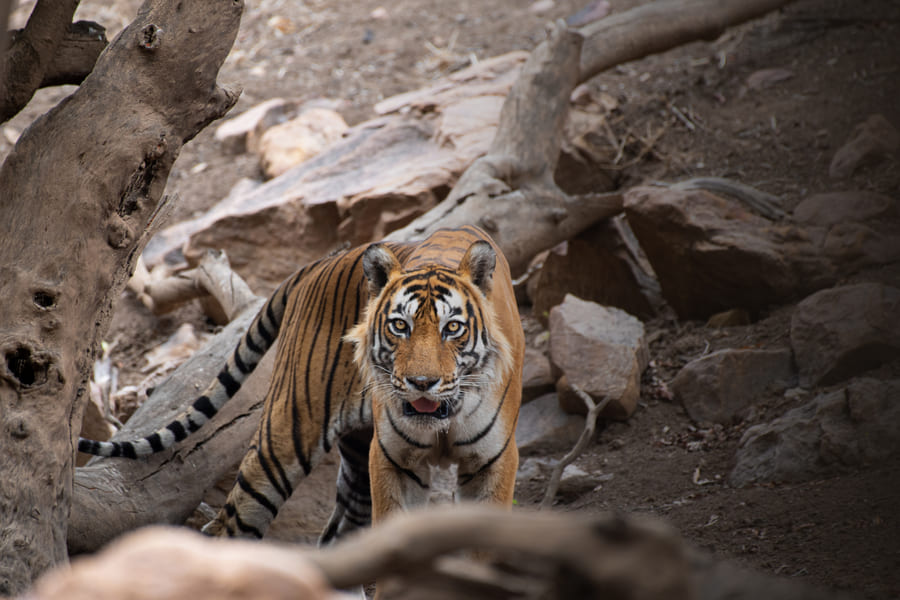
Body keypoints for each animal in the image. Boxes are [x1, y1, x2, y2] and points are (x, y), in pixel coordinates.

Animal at [78, 225, 524, 544]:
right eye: (400, 326)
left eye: (453, 329)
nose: (421, 383)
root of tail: (317, 265)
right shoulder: (394, 461)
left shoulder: (492, 462)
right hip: (285, 437)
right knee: (229, 526)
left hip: (356, 459)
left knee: (338, 535)